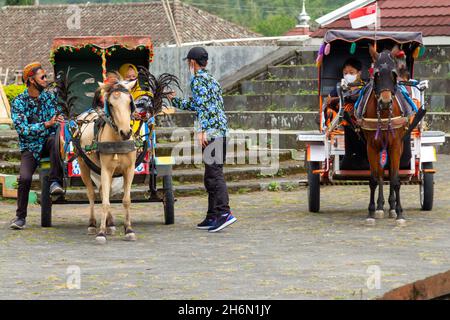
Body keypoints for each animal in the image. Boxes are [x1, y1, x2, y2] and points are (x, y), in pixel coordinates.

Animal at [76, 81, 137, 244]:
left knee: (104, 190)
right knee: (91, 194)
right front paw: (101, 232)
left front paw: (129, 229)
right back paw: (92, 224)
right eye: (110, 104)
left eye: (130, 102)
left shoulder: (129, 169)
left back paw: (110, 224)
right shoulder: (106, 170)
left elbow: (126, 200)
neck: (117, 139)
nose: (126, 132)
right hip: (84, 165)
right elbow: (104, 201)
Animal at [360, 45, 410, 226]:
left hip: (399, 145)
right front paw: (371, 211)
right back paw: (381, 206)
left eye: (394, 74)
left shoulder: (395, 144)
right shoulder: (371, 146)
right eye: (377, 74)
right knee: (382, 174)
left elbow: (395, 180)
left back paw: (393, 207)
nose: (386, 102)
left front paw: (400, 213)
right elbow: (375, 178)